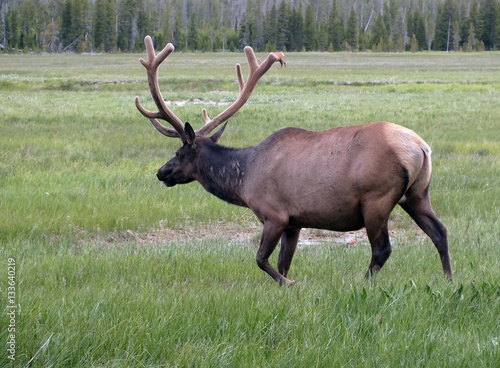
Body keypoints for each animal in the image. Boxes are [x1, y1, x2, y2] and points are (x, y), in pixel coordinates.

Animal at [136, 36, 454, 284]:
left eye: (178, 153)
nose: (161, 172)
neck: (243, 180)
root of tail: (421, 147)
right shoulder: (295, 222)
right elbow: (282, 262)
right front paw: (284, 284)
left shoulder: (274, 214)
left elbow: (262, 259)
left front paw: (290, 284)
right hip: (417, 194)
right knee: (439, 232)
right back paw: (449, 279)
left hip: (377, 199)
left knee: (382, 249)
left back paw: (363, 283)